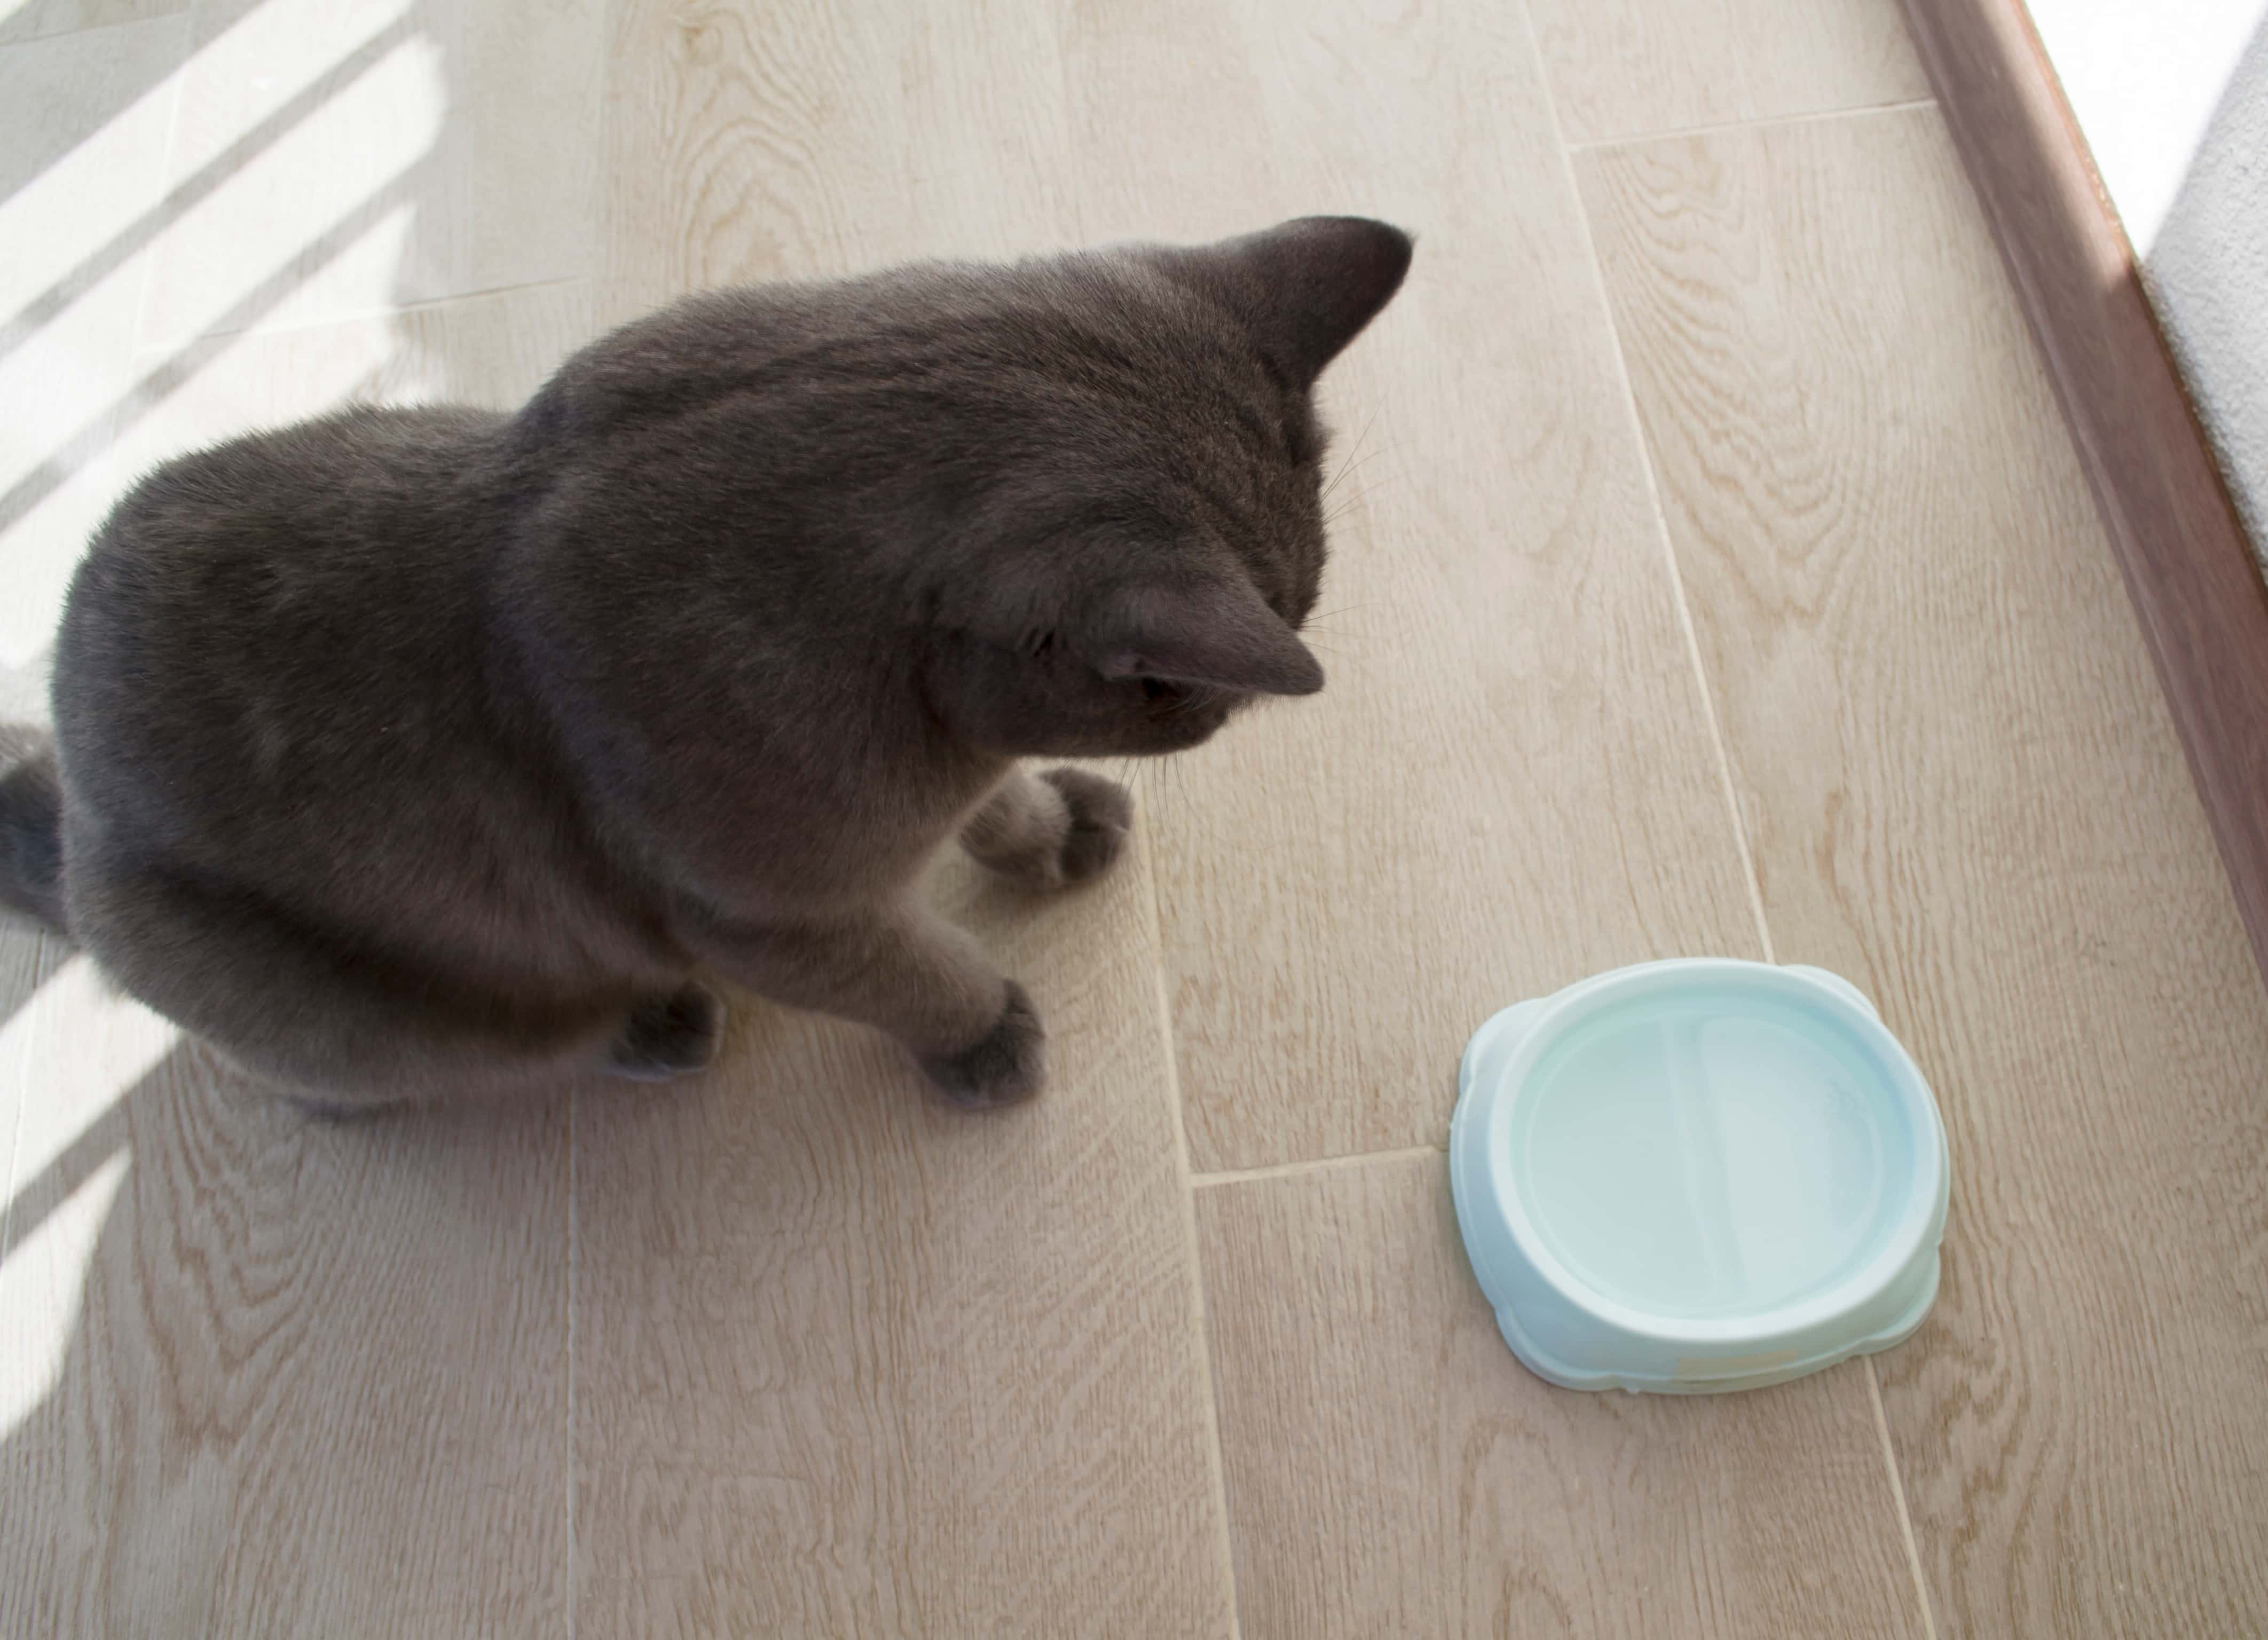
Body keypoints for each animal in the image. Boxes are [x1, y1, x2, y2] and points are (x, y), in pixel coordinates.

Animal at [0, 217, 1406, 1111]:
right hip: (353, 1005)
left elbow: (996, 802)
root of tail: (73, 830)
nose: (1218, 717)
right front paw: (986, 1030)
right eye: (1180, 693)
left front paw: (1054, 827)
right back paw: (650, 1024)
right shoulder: (767, 920)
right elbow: (913, 967)